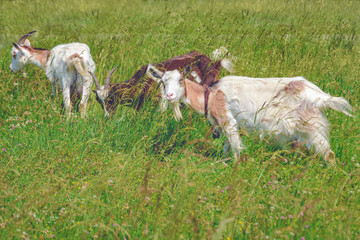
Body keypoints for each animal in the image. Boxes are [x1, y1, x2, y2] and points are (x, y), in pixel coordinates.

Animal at [88, 47, 232, 118]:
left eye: (110, 99)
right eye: (98, 101)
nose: (107, 116)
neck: (142, 81)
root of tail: (214, 62)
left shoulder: (160, 103)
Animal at [146, 66, 352, 163]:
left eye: (180, 80)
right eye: (163, 82)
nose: (170, 96)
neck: (211, 96)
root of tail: (318, 94)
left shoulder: (228, 121)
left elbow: (236, 148)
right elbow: (226, 147)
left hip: (310, 126)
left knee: (329, 154)